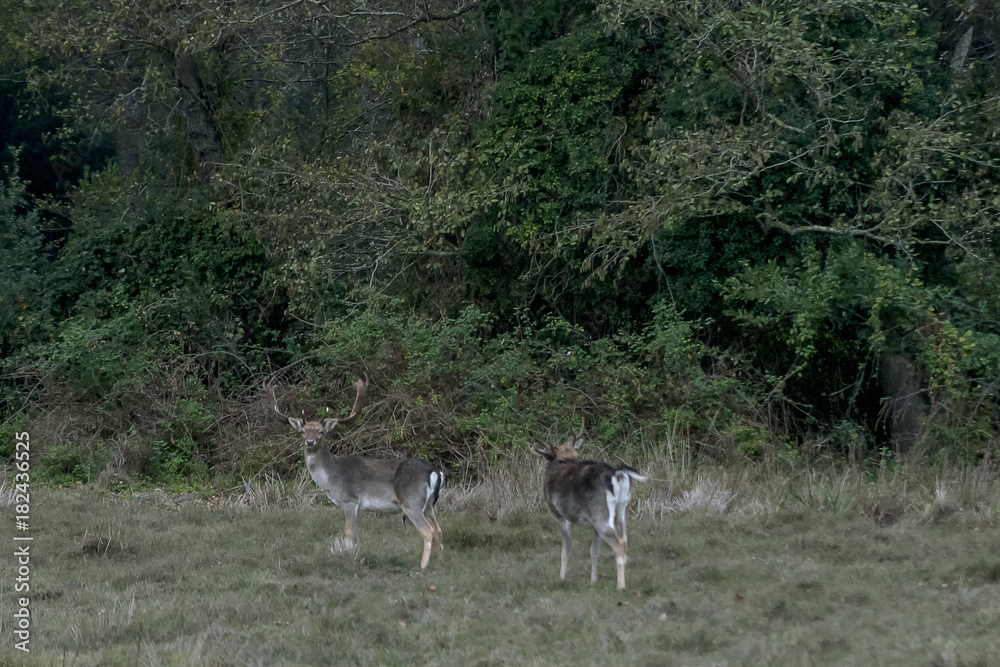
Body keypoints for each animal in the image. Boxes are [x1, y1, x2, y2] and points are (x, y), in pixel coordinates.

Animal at [267, 376, 445, 569]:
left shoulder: (350, 500)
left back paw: (422, 566)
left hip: (411, 502)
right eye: (303, 431)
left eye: (321, 432)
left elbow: (349, 533)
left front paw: (348, 558)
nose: (310, 442)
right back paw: (439, 561)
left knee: (428, 531)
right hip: (429, 505)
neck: (330, 478)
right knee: (438, 529)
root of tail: (435, 472)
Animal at [533, 422, 646, 590]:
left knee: (618, 543)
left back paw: (620, 586)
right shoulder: (593, 526)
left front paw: (561, 578)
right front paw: (593, 580)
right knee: (625, 539)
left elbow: (565, 550)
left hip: (601, 514)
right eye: (568, 457)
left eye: (575, 456)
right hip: (622, 510)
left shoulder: (562, 516)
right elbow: (594, 551)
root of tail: (617, 473)